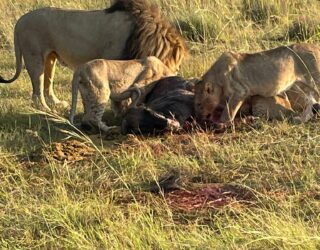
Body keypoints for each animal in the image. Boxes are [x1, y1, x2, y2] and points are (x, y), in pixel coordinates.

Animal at [0, 0, 188, 111]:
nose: (177, 79)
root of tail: (20, 21)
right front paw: (122, 108)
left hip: (50, 58)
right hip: (34, 56)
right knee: (37, 87)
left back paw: (57, 104)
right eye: (177, 66)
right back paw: (45, 108)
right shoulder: (115, 59)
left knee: (48, 82)